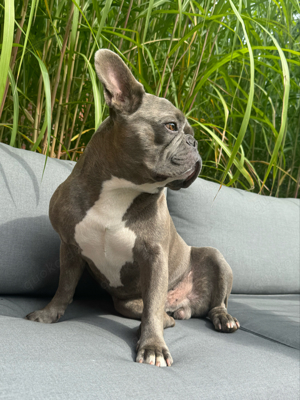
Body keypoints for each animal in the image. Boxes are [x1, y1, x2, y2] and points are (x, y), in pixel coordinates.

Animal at [27, 49, 240, 366]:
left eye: (188, 133)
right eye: (171, 126)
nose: (194, 142)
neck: (122, 188)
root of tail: (184, 304)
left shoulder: (154, 257)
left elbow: (152, 307)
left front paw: (152, 347)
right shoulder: (70, 247)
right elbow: (64, 287)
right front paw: (48, 314)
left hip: (216, 258)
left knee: (214, 302)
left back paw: (222, 318)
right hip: (124, 302)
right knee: (153, 310)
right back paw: (171, 318)